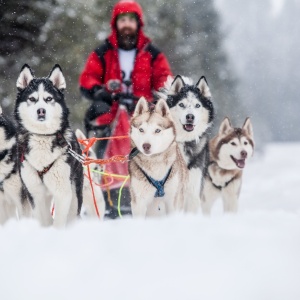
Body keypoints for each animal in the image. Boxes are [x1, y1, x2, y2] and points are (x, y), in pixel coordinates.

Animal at [14, 63, 83, 227]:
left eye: (49, 98)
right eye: (32, 99)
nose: (41, 111)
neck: (42, 137)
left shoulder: (62, 191)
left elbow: (59, 221)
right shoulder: (34, 192)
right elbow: (44, 219)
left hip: (74, 191)